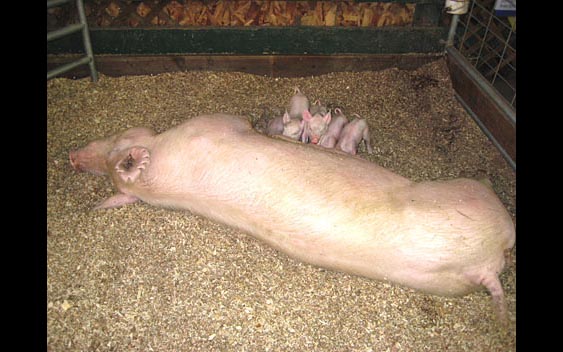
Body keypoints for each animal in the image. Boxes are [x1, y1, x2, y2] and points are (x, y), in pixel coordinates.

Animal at [69, 113, 516, 324]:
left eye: (118, 139)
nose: (73, 157)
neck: (160, 181)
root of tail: (486, 265)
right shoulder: (216, 123)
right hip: (478, 201)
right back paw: (486, 175)